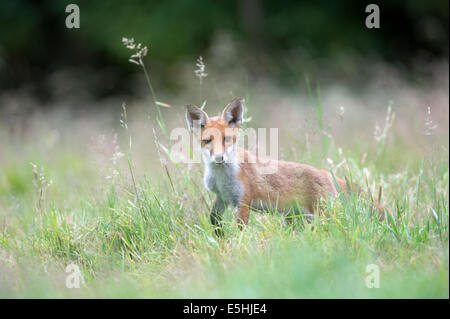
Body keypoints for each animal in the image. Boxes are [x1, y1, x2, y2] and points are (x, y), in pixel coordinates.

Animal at [185, 97, 386, 235]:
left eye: (227, 139)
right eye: (207, 141)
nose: (219, 158)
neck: (221, 177)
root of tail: (325, 172)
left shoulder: (243, 202)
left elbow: (240, 230)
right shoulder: (222, 197)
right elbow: (214, 221)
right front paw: (219, 240)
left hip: (321, 215)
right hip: (295, 219)